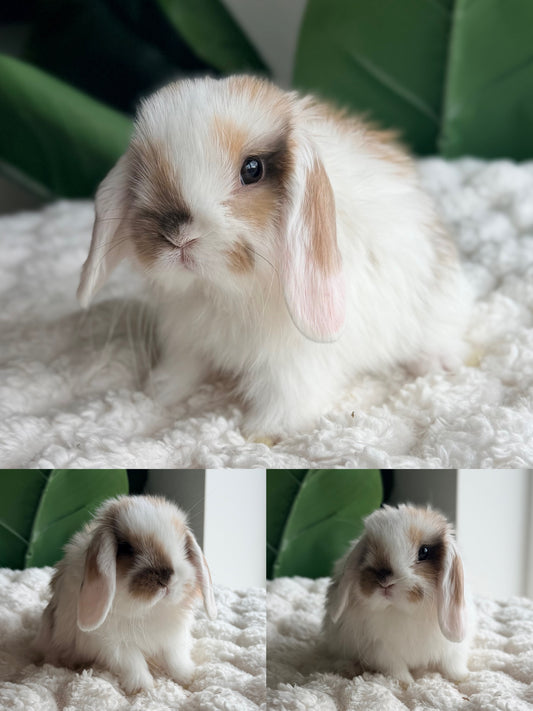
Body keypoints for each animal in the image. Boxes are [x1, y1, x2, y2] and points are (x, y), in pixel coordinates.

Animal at [33, 495, 217, 694]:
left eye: (183, 545)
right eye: (127, 548)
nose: (166, 578)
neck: (149, 610)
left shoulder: (173, 638)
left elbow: (175, 659)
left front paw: (188, 679)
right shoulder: (115, 645)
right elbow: (134, 664)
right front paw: (144, 688)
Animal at [77, 74, 470, 440]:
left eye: (252, 169)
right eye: (142, 171)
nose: (176, 235)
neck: (222, 290)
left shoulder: (294, 361)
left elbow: (287, 395)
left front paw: (262, 432)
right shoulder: (186, 337)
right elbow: (182, 367)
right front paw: (158, 392)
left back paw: (437, 364)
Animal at [323, 504, 475, 685]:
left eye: (424, 551)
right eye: (369, 551)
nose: (384, 580)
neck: (403, 611)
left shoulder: (453, 649)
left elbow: (452, 665)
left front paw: (463, 678)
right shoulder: (382, 649)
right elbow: (396, 669)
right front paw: (406, 683)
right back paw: (347, 669)